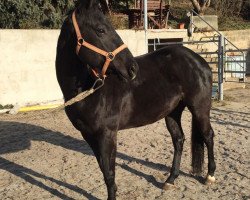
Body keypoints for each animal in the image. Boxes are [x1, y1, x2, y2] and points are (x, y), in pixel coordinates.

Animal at [55, 0, 216, 199]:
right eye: (100, 29)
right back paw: (170, 180)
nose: (132, 68)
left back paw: (210, 176)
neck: (88, 88)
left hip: (200, 109)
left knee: (208, 135)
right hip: (172, 112)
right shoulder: (89, 135)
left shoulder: (107, 134)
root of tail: (200, 61)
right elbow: (103, 169)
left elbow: (109, 172)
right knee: (179, 140)